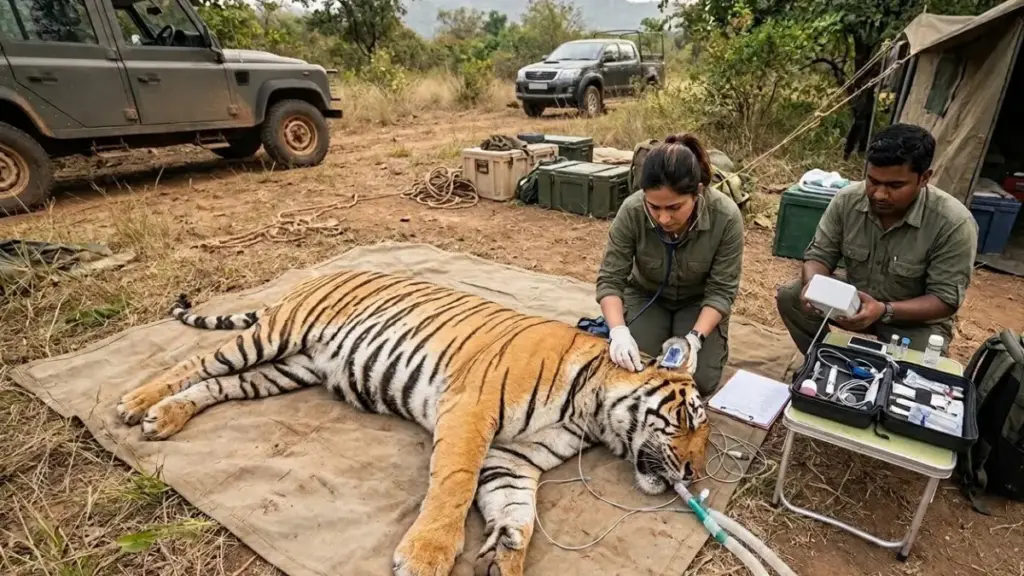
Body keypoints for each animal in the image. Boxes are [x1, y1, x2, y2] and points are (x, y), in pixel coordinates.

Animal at [115, 268, 711, 576]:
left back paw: (164, 418)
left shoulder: (513, 459)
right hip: (273, 336)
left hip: (288, 369)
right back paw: (135, 403)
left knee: (218, 386)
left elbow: (518, 513)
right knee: (198, 363)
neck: (590, 412)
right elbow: (453, 485)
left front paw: (505, 555)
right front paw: (426, 557)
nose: (692, 476)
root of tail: (326, 271)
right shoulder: (470, 412)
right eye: (689, 417)